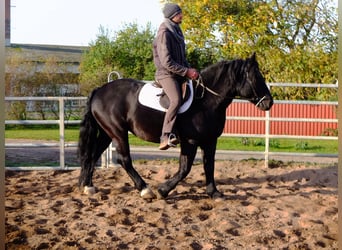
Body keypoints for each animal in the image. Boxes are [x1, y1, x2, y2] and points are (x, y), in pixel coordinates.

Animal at [77, 53, 272, 200]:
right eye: (256, 77)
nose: (269, 102)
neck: (206, 100)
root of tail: (99, 90)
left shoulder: (210, 141)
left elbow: (209, 166)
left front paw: (214, 193)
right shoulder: (190, 141)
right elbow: (185, 169)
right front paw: (163, 190)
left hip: (106, 133)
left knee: (92, 155)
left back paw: (88, 186)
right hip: (118, 133)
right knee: (124, 160)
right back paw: (145, 189)